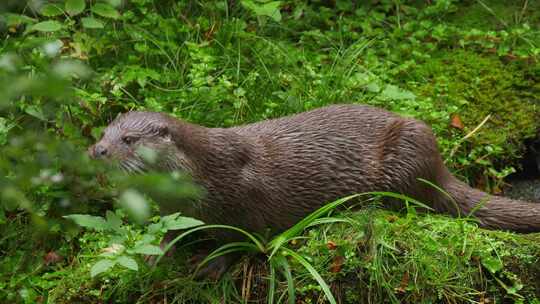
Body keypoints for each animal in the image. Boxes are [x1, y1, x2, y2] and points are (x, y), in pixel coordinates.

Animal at [88, 103, 540, 234]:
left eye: (129, 140)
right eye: (104, 132)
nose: (97, 151)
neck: (209, 170)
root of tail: (439, 165)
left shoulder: (249, 200)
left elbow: (249, 236)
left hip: (406, 154)